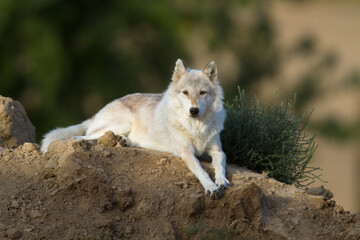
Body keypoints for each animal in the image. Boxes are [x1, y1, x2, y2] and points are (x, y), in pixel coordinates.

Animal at [40, 59, 231, 198]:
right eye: (185, 93)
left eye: (202, 93)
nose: (194, 110)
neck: (196, 127)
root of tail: (100, 110)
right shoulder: (185, 152)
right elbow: (199, 169)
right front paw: (211, 187)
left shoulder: (217, 150)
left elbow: (220, 162)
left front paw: (221, 181)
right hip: (123, 123)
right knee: (88, 135)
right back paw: (81, 140)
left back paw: (122, 141)